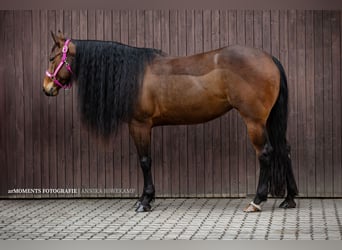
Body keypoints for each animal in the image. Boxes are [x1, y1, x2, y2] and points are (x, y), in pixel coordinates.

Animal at [44, 31, 298, 213]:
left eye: (52, 58)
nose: (46, 88)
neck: (134, 76)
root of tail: (269, 58)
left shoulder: (140, 125)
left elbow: (145, 161)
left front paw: (145, 201)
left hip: (254, 120)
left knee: (265, 153)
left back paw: (257, 201)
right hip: (269, 119)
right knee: (284, 149)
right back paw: (289, 198)